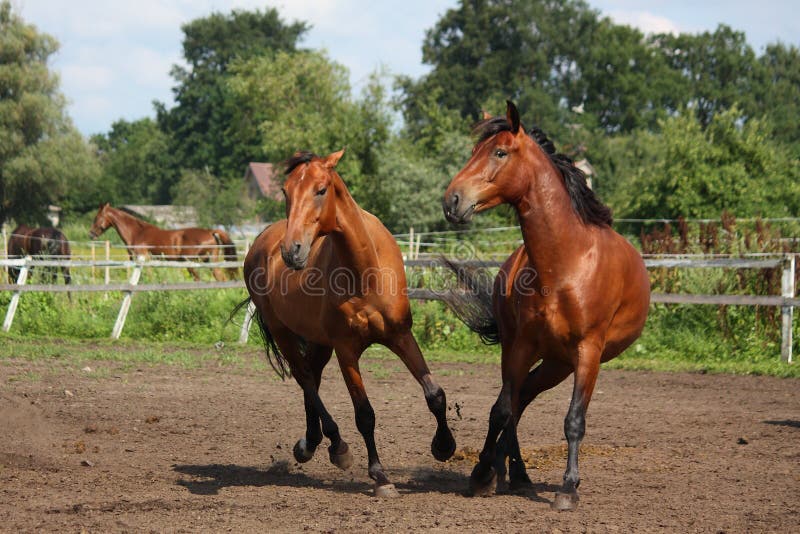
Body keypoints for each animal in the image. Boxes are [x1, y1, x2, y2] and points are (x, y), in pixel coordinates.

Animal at [88, 203, 239, 281]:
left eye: (96, 218)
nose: (90, 234)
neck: (137, 232)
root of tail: (210, 231)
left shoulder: (144, 259)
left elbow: (149, 277)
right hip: (210, 261)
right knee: (220, 278)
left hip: (191, 262)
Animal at [242, 149, 456, 498]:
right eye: (286, 192)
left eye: (320, 190)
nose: (292, 251)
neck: (366, 270)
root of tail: (262, 243)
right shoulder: (347, 350)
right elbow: (365, 414)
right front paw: (380, 476)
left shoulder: (401, 336)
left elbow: (435, 394)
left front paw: (444, 446)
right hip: (282, 330)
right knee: (304, 378)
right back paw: (335, 445)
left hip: (318, 341)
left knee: (312, 376)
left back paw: (311, 443)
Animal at [441, 101, 650, 511]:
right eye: (474, 150)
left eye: (499, 152)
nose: (452, 200)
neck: (566, 264)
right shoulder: (522, 346)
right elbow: (501, 410)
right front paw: (481, 474)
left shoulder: (588, 353)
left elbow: (574, 420)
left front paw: (568, 489)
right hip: (532, 354)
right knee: (515, 401)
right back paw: (509, 472)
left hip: (559, 364)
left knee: (525, 397)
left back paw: (515, 473)